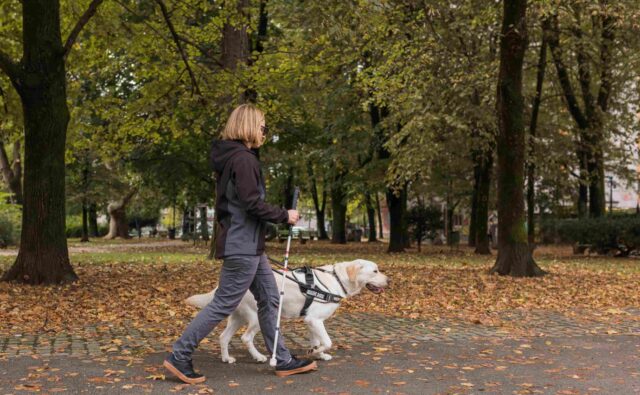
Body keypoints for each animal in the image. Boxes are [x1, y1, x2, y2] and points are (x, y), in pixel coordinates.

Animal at [182, 262, 388, 364]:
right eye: (375, 271)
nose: (389, 280)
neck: (337, 278)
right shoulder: (315, 320)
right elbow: (327, 342)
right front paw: (315, 352)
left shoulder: (312, 321)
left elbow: (317, 341)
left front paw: (318, 354)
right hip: (257, 316)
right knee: (246, 338)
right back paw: (258, 357)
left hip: (238, 318)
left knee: (224, 337)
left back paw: (226, 358)